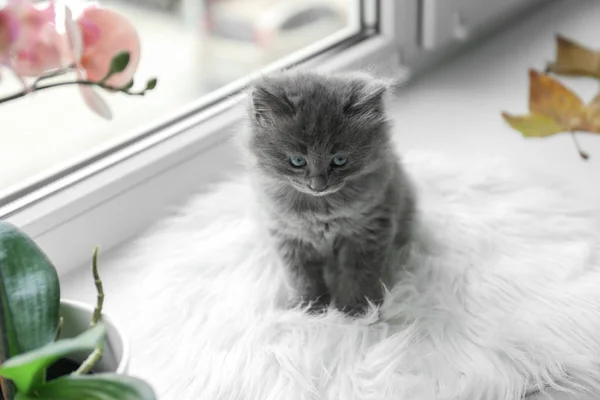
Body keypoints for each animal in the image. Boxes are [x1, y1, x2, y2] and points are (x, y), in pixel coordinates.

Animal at [241, 70, 414, 318]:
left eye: (340, 160)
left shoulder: (368, 231)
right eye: (297, 161)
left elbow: (358, 275)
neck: (321, 210)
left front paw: (355, 311)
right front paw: (308, 309)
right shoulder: (288, 237)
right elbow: (302, 278)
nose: (318, 185)